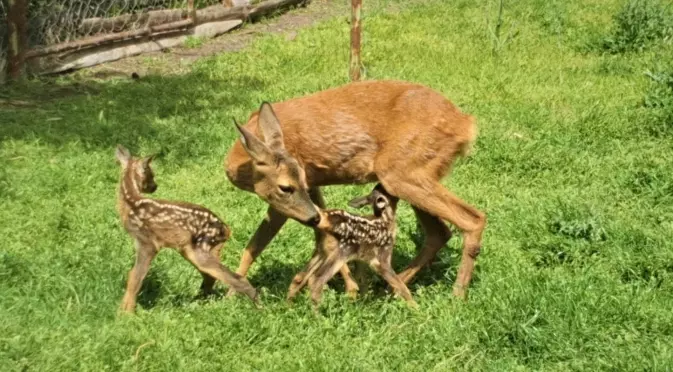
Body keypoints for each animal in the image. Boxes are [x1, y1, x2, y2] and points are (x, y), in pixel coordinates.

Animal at [115, 144, 258, 312]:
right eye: (152, 175)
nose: (155, 186)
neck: (130, 203)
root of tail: (226, 230)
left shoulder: (148, 242)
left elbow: (136, 277)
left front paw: (126, 312)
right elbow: (133, 275)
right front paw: (124, 309)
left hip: (201, 248)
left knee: (231, 277)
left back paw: (257, 305)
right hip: (195, 249)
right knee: (210, 277)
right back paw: (198, 301)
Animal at [224, 78, 484, 300]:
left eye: (285, 187)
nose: (312, 217)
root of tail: (465, 124)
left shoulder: (288, 199)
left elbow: (257, 245)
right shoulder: (312, 186)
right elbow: (316, 235)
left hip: (401, 173)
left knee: (472, 219)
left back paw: (456, 296)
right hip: (413, 174)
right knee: (439, 232)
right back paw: (391, 288)